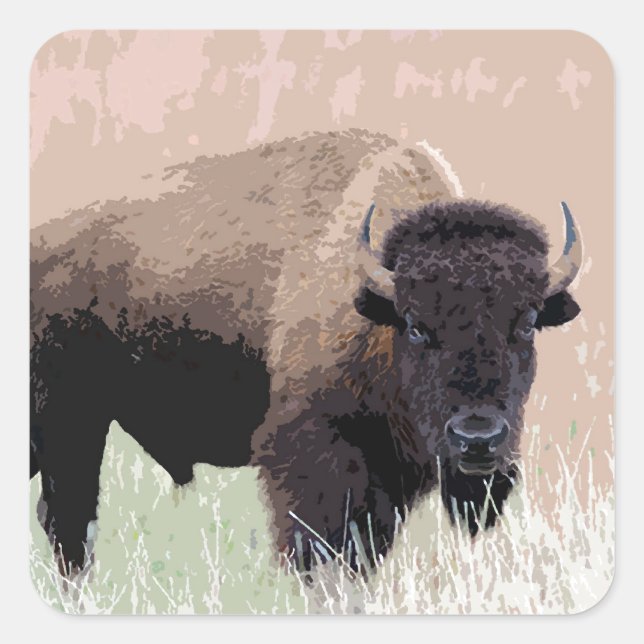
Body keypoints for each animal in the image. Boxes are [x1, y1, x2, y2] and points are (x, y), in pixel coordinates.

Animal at [30, 129, 582, 572]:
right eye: (416, 326)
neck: (372, 299)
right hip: (68, 423)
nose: (477, 438)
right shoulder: (315, 458)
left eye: (527, 322)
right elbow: (319, 549)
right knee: (69, 522)